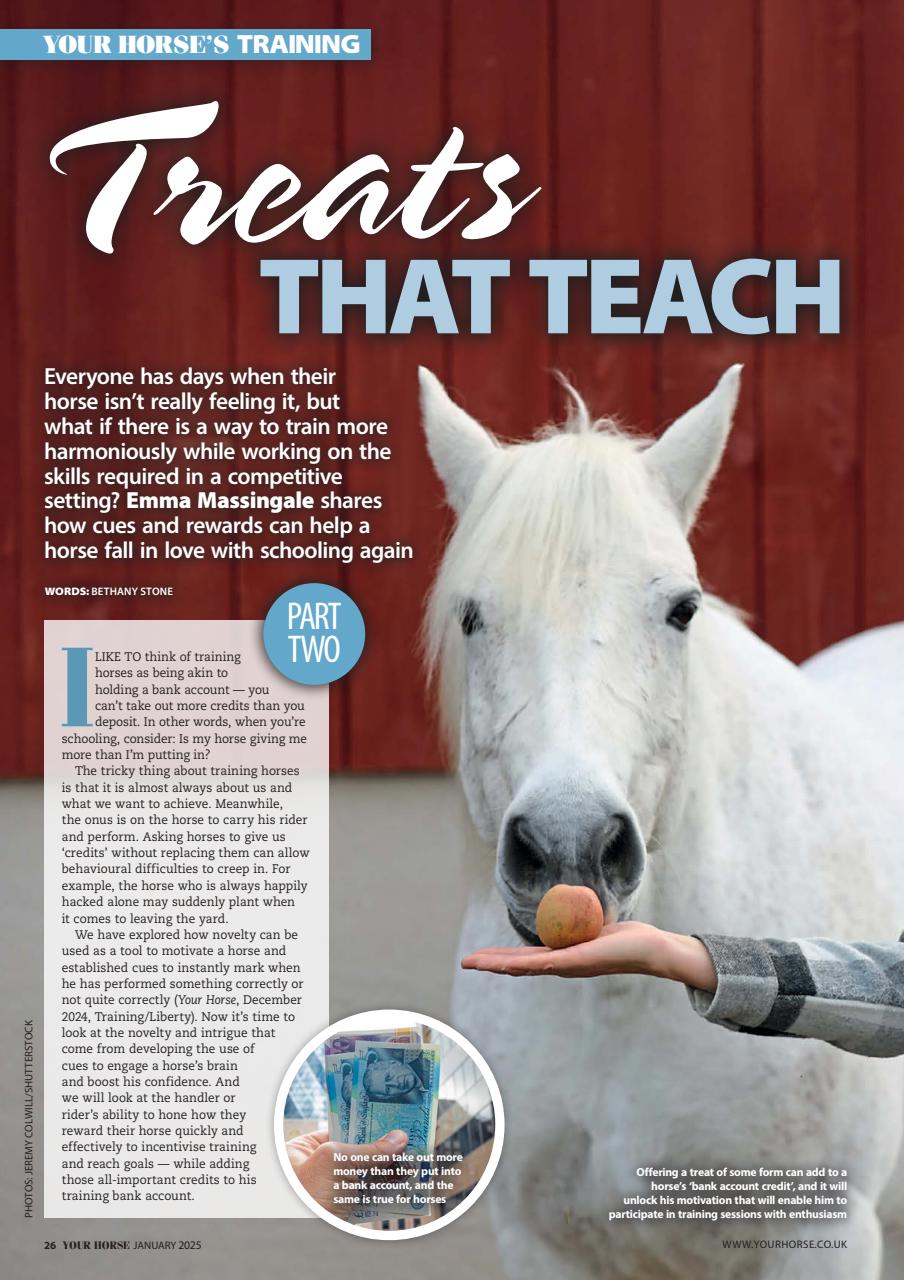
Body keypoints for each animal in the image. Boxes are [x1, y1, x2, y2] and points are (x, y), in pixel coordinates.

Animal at [419, 364, 904, 1278]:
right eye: (471, 616)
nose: (570, 847)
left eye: (682, 609)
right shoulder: (540, 1243)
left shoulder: (820, 1238)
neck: (618, 1012)